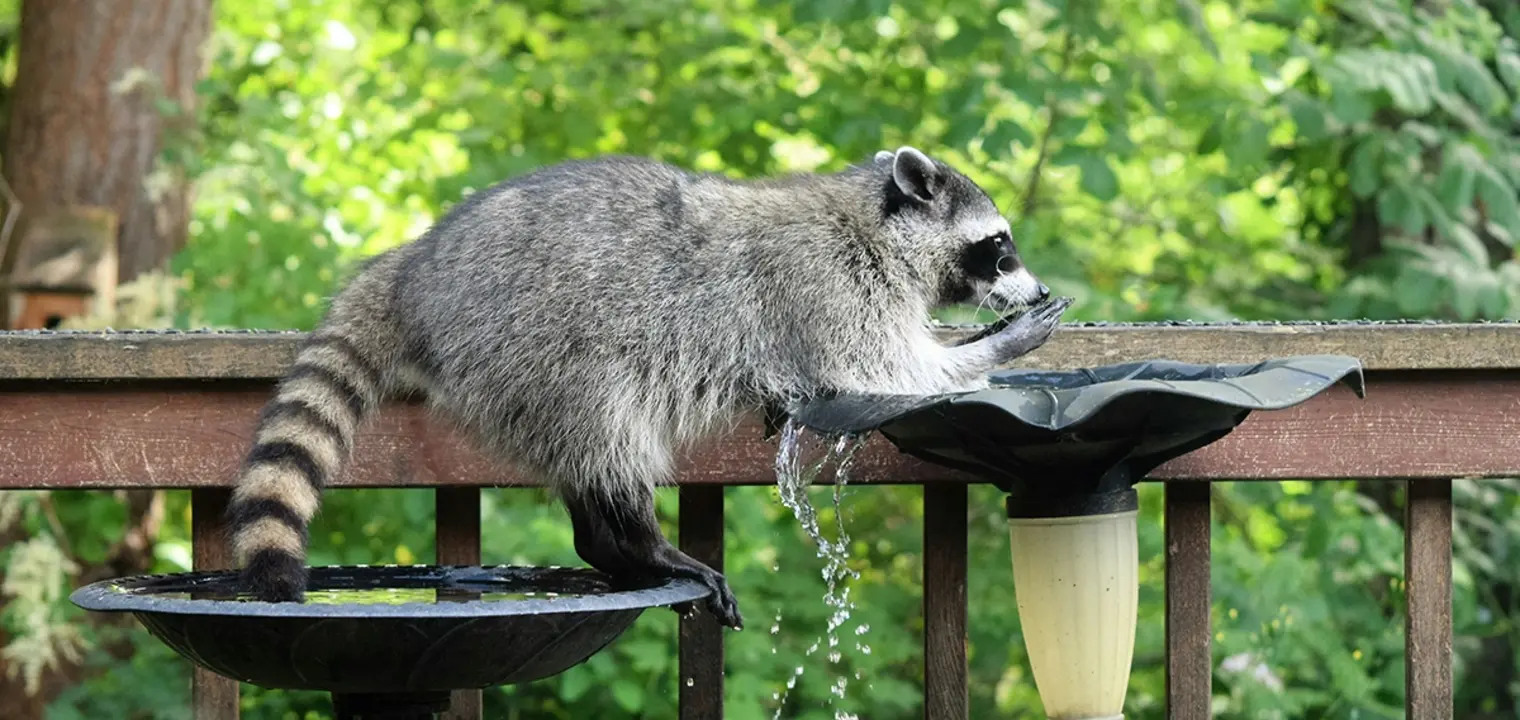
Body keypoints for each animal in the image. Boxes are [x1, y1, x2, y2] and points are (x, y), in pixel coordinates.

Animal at [228, 147, 1082, 628]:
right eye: (999, 246)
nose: (1034, 286)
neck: (872, 223)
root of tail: (418, 264)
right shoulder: (824, 285)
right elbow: (888, 370)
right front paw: (994, 343)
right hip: (540, 342)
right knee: (609, 430)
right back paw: (637, 542)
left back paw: (608, 544)